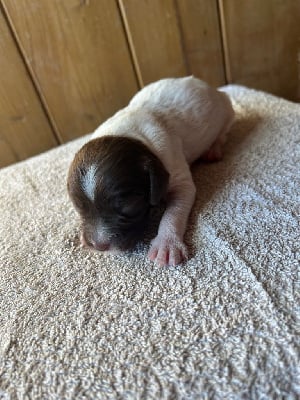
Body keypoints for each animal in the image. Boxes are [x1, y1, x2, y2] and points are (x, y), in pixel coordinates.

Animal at [67, 77, 234, 268]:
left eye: (130, 206)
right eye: (78, 207)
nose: (99, 246)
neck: (130, 135)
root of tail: (206, 85)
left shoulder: (176, 172)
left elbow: (173, 213)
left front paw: (167, 244)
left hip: (227, 111)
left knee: (223, 133)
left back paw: (214, 150)